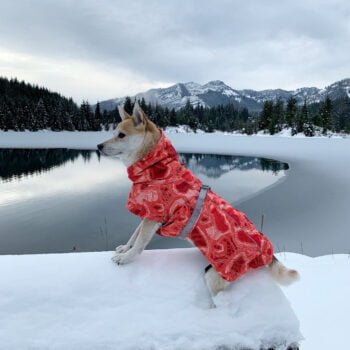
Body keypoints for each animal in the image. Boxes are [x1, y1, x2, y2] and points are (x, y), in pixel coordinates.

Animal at [97, 102, 300, 300]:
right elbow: (134, 235)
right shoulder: (148, 213)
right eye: (113, 133)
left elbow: (139, 243)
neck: (158, 170)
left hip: (216, 276)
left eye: (121, 135)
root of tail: (268, 254)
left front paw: (125, 258)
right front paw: (124, 249)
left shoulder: (153, 216)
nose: (98, 146)